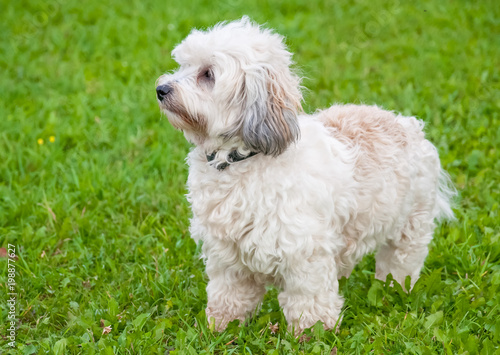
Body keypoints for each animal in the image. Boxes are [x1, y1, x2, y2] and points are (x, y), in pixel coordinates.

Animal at [155, 16, 454, 334]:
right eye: (182, 66)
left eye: (208, 74)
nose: (161, 89)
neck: (238, 161)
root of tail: (408, 124)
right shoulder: (227, 255)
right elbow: (229, 294)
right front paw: (221, 327)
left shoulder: (304, 251)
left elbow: (308, 298)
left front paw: (314, 332)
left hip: (411, 226)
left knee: (401, 263)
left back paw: (395, 290)